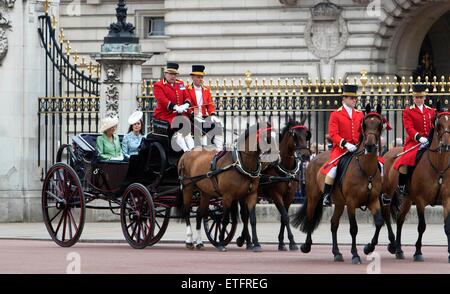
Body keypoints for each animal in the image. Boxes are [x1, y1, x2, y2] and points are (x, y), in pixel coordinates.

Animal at [178, 123, 272, 252]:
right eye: (266, 137)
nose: (275, 157)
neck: (239, 163)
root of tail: (187, 152)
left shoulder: (251, 195)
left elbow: (252, 219)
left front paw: (256, 244)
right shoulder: (228, 196)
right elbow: (225, 219)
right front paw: (221, 242)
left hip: (205, 192)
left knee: (199, 214)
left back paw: (199, 242)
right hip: (188, 187)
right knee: (186, 211)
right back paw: (189, 240)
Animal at [234, 116, 312, 252]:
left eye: (306, 134)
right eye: (294, 135)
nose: (305, 155)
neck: (284, 166)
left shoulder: (289, 196)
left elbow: (283, 218)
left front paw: (282, 242)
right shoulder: (276, 195)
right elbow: (285, 216)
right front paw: (292, 242)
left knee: (246, 215)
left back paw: (245, 239)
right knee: (244, 215)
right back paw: (247, 241)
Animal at [294, 104, 384, 262]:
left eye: (379, 124)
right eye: (365, 124)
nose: (370, 146)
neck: (366, 169)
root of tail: (314, 158)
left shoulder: (373, 200)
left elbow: (378, 223)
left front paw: (368, 248)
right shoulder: (351, 202)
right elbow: (353, 228)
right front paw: (355, 255)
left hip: (340, 203)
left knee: (334, 224)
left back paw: (336, 252)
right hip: (313, 196)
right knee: (310, 218)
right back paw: (306, 246)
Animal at [384, 106, 450, 262]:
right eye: (438, 124)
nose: (446, 144)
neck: (439, 167)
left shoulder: (447, 199)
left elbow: (447, 227)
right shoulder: (420, 200)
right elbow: (421, 226)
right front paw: (418, 252)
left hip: (407, 198)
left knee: (400, 219)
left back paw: (399, 250)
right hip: (387, 193)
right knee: (386, 215)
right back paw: (392, 244)